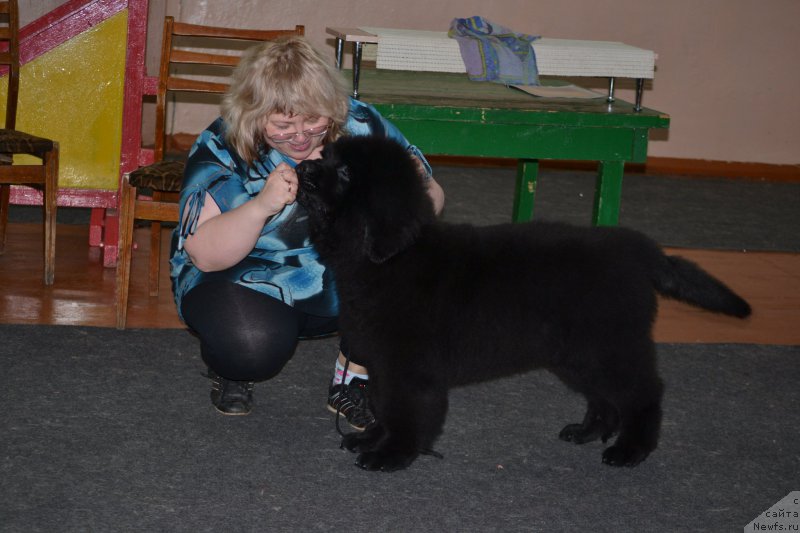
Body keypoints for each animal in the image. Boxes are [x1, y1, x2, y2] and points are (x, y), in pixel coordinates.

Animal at [294, 135, 752, 472]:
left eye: (345, 172)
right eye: (324, 155)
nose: (302, 169)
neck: (388, 259)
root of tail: (638, 249)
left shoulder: (408, 367)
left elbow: (403, 412)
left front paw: (392, 454)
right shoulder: (384, 364)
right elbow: (382, 406)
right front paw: (370, 439)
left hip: (610, 347)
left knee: (643, 394)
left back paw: (630, 450)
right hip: (577, 354)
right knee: (603, 398)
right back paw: (586, 432)